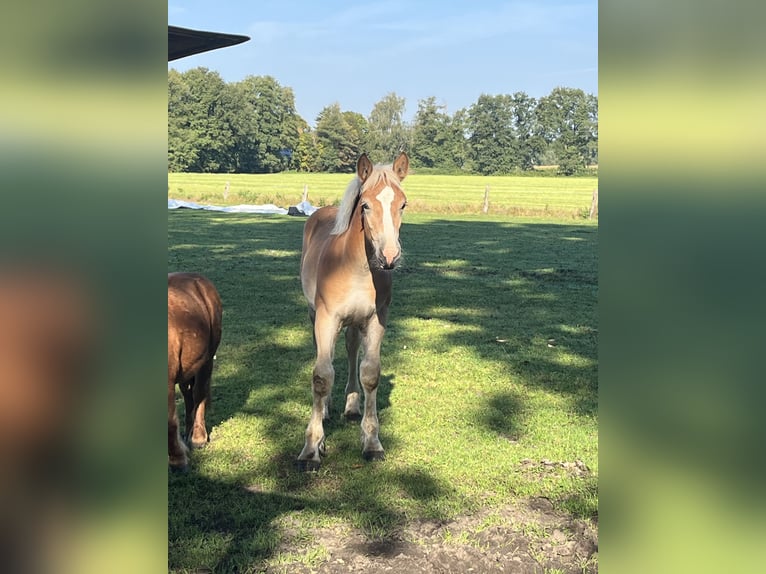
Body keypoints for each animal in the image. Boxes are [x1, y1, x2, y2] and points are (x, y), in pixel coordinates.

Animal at [168, 272, 222, 470]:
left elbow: (170, 421)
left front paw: (178, 461)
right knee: (188, 395)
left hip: (207, 360)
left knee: (199, 394)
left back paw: (198, 438)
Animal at [298, 154, 412, 472]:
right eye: (366, 205)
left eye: (403, 204)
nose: (389, 256)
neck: (357, 268)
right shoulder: (326, 319)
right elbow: (322, 376)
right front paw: (311, 448)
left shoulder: (376, 320)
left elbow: (370, 373)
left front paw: (372, 443)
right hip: (315, 315)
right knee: (325, 356)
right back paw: (325, 410)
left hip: (354, 322)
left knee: (351, 351)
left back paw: (351, 406)